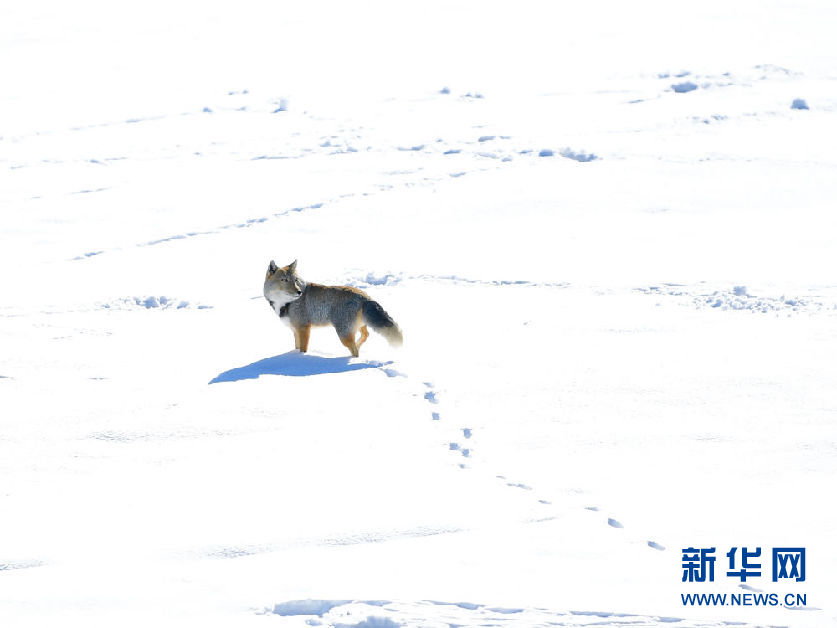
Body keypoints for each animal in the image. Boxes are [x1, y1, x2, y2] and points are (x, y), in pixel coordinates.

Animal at [263, 260, 403, 357]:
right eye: (284, 280)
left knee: (355, 350)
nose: (299, 292)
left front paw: (301, 358)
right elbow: (297, 347)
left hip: (343, 335)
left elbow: (303, 349)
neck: (286, 303)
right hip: (357, 327)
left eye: (296, 280)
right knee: (365, 335)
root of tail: (364, 296)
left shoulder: (303, 328)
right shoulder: (295, 330)